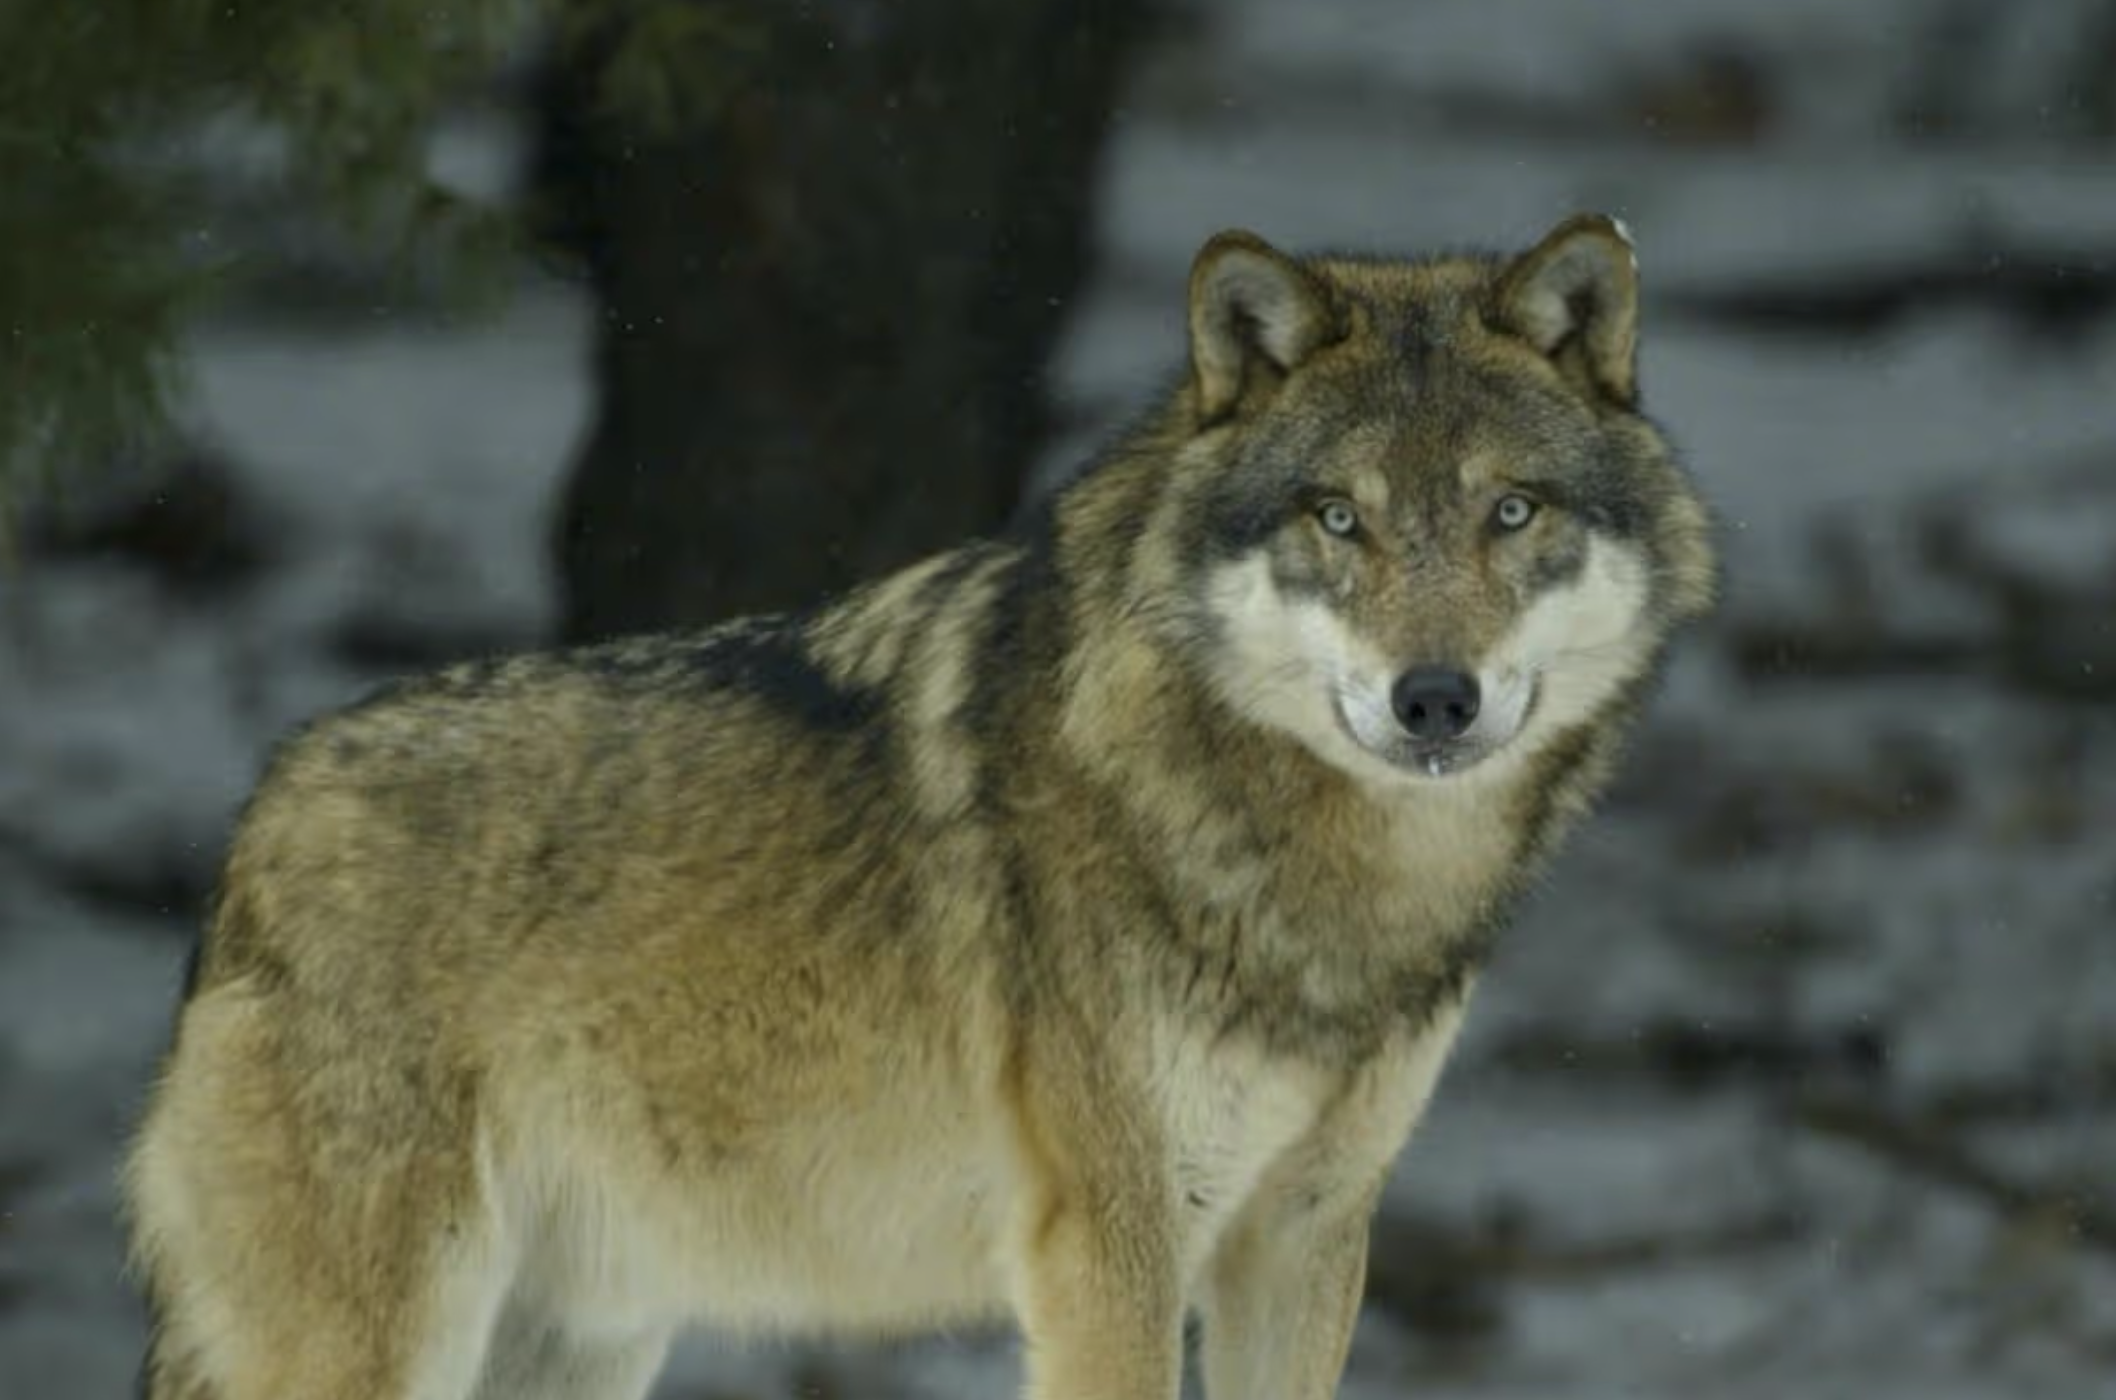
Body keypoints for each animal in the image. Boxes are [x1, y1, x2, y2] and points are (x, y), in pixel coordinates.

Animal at [125, 213, 1714, 1400]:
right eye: (1339, 518)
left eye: (1511, 511)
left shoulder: (1306, 1235)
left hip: (582, 1336)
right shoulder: (1110, 1250)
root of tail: (258, 818)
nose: (1433, 698)